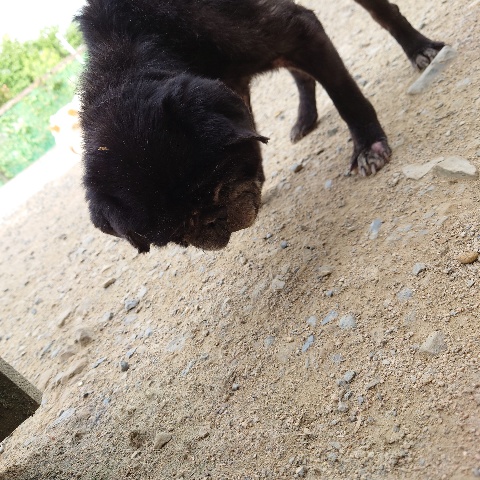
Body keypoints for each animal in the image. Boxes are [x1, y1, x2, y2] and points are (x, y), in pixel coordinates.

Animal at [77, 0, 444, 252]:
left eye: (218, 187)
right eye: (177, 233)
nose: (213, 221)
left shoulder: (298, 30)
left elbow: (345, 95)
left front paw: (368, 145)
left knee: (382, 12)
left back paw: (421, 48)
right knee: (299, 74)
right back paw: (304, 119)